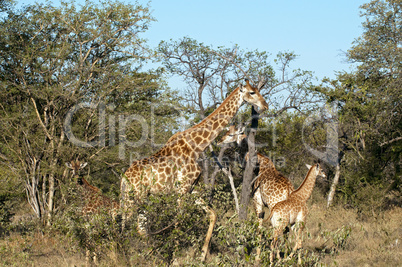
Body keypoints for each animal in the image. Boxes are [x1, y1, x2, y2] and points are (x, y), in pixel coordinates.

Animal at [121, 79, 268, 262]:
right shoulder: (182, 189)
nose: (265, 105)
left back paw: (147, 255)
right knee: (126, 222)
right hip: (135, 196)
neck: (197, 145)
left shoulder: (191, 188)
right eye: (252, 92)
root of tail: (124, 177)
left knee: (138, 227)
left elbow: (213, 214)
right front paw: (175, 259)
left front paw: (202, 256)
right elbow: (179, 221)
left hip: (142, 197)